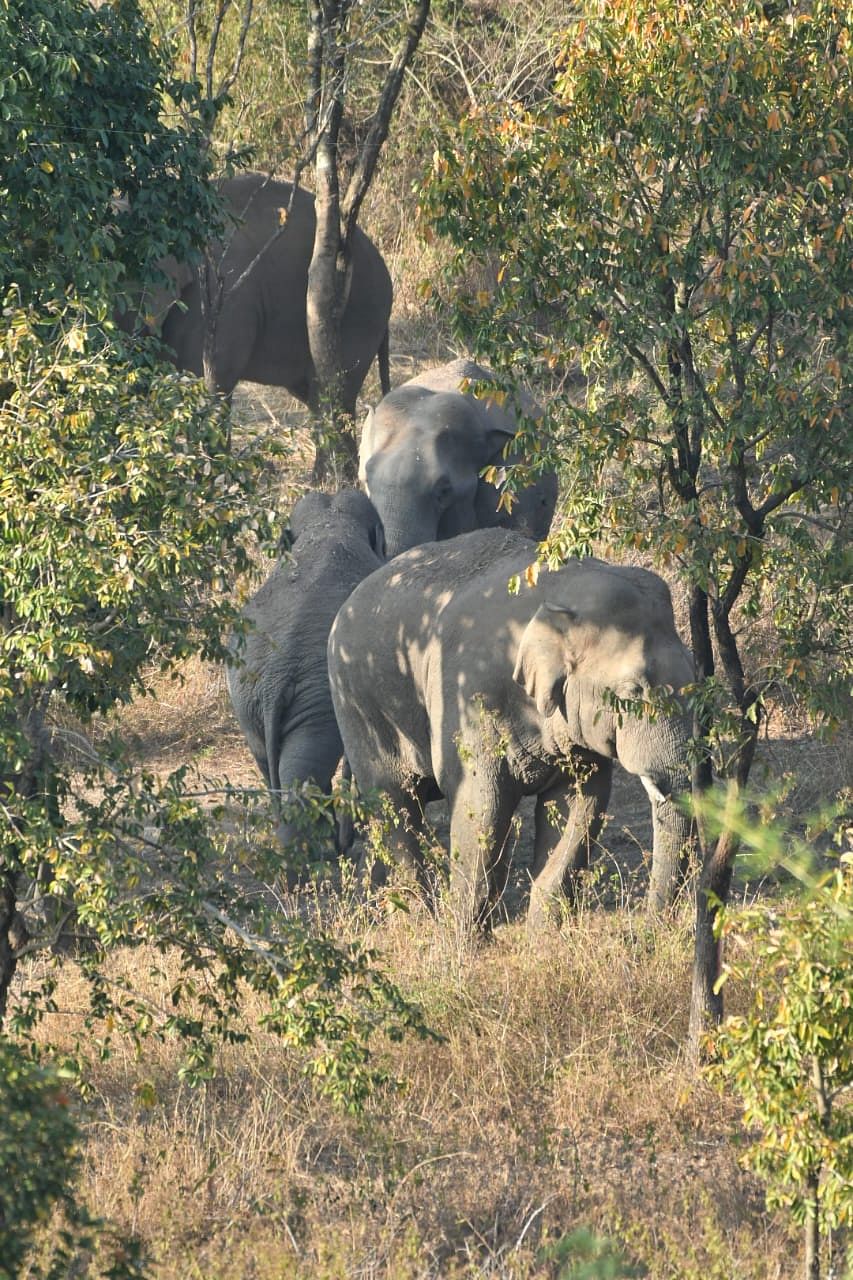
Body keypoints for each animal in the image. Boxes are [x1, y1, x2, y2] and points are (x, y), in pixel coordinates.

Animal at [227, 486, 384, 860]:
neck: (327, 525)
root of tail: (273, 681)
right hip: (314, 703)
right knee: (304, 771)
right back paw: (319, 855)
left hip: (247, 703)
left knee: (276, 768)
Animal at [327, 529, 696, 931]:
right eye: (632, 692)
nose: (648, 927)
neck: (559, 592)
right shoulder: (471, 694)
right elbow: (482, 805)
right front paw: (467, 938)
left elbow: (581, 802)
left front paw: (544, 935)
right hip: (359, 704)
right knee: (394, 801)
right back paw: (415, 921)